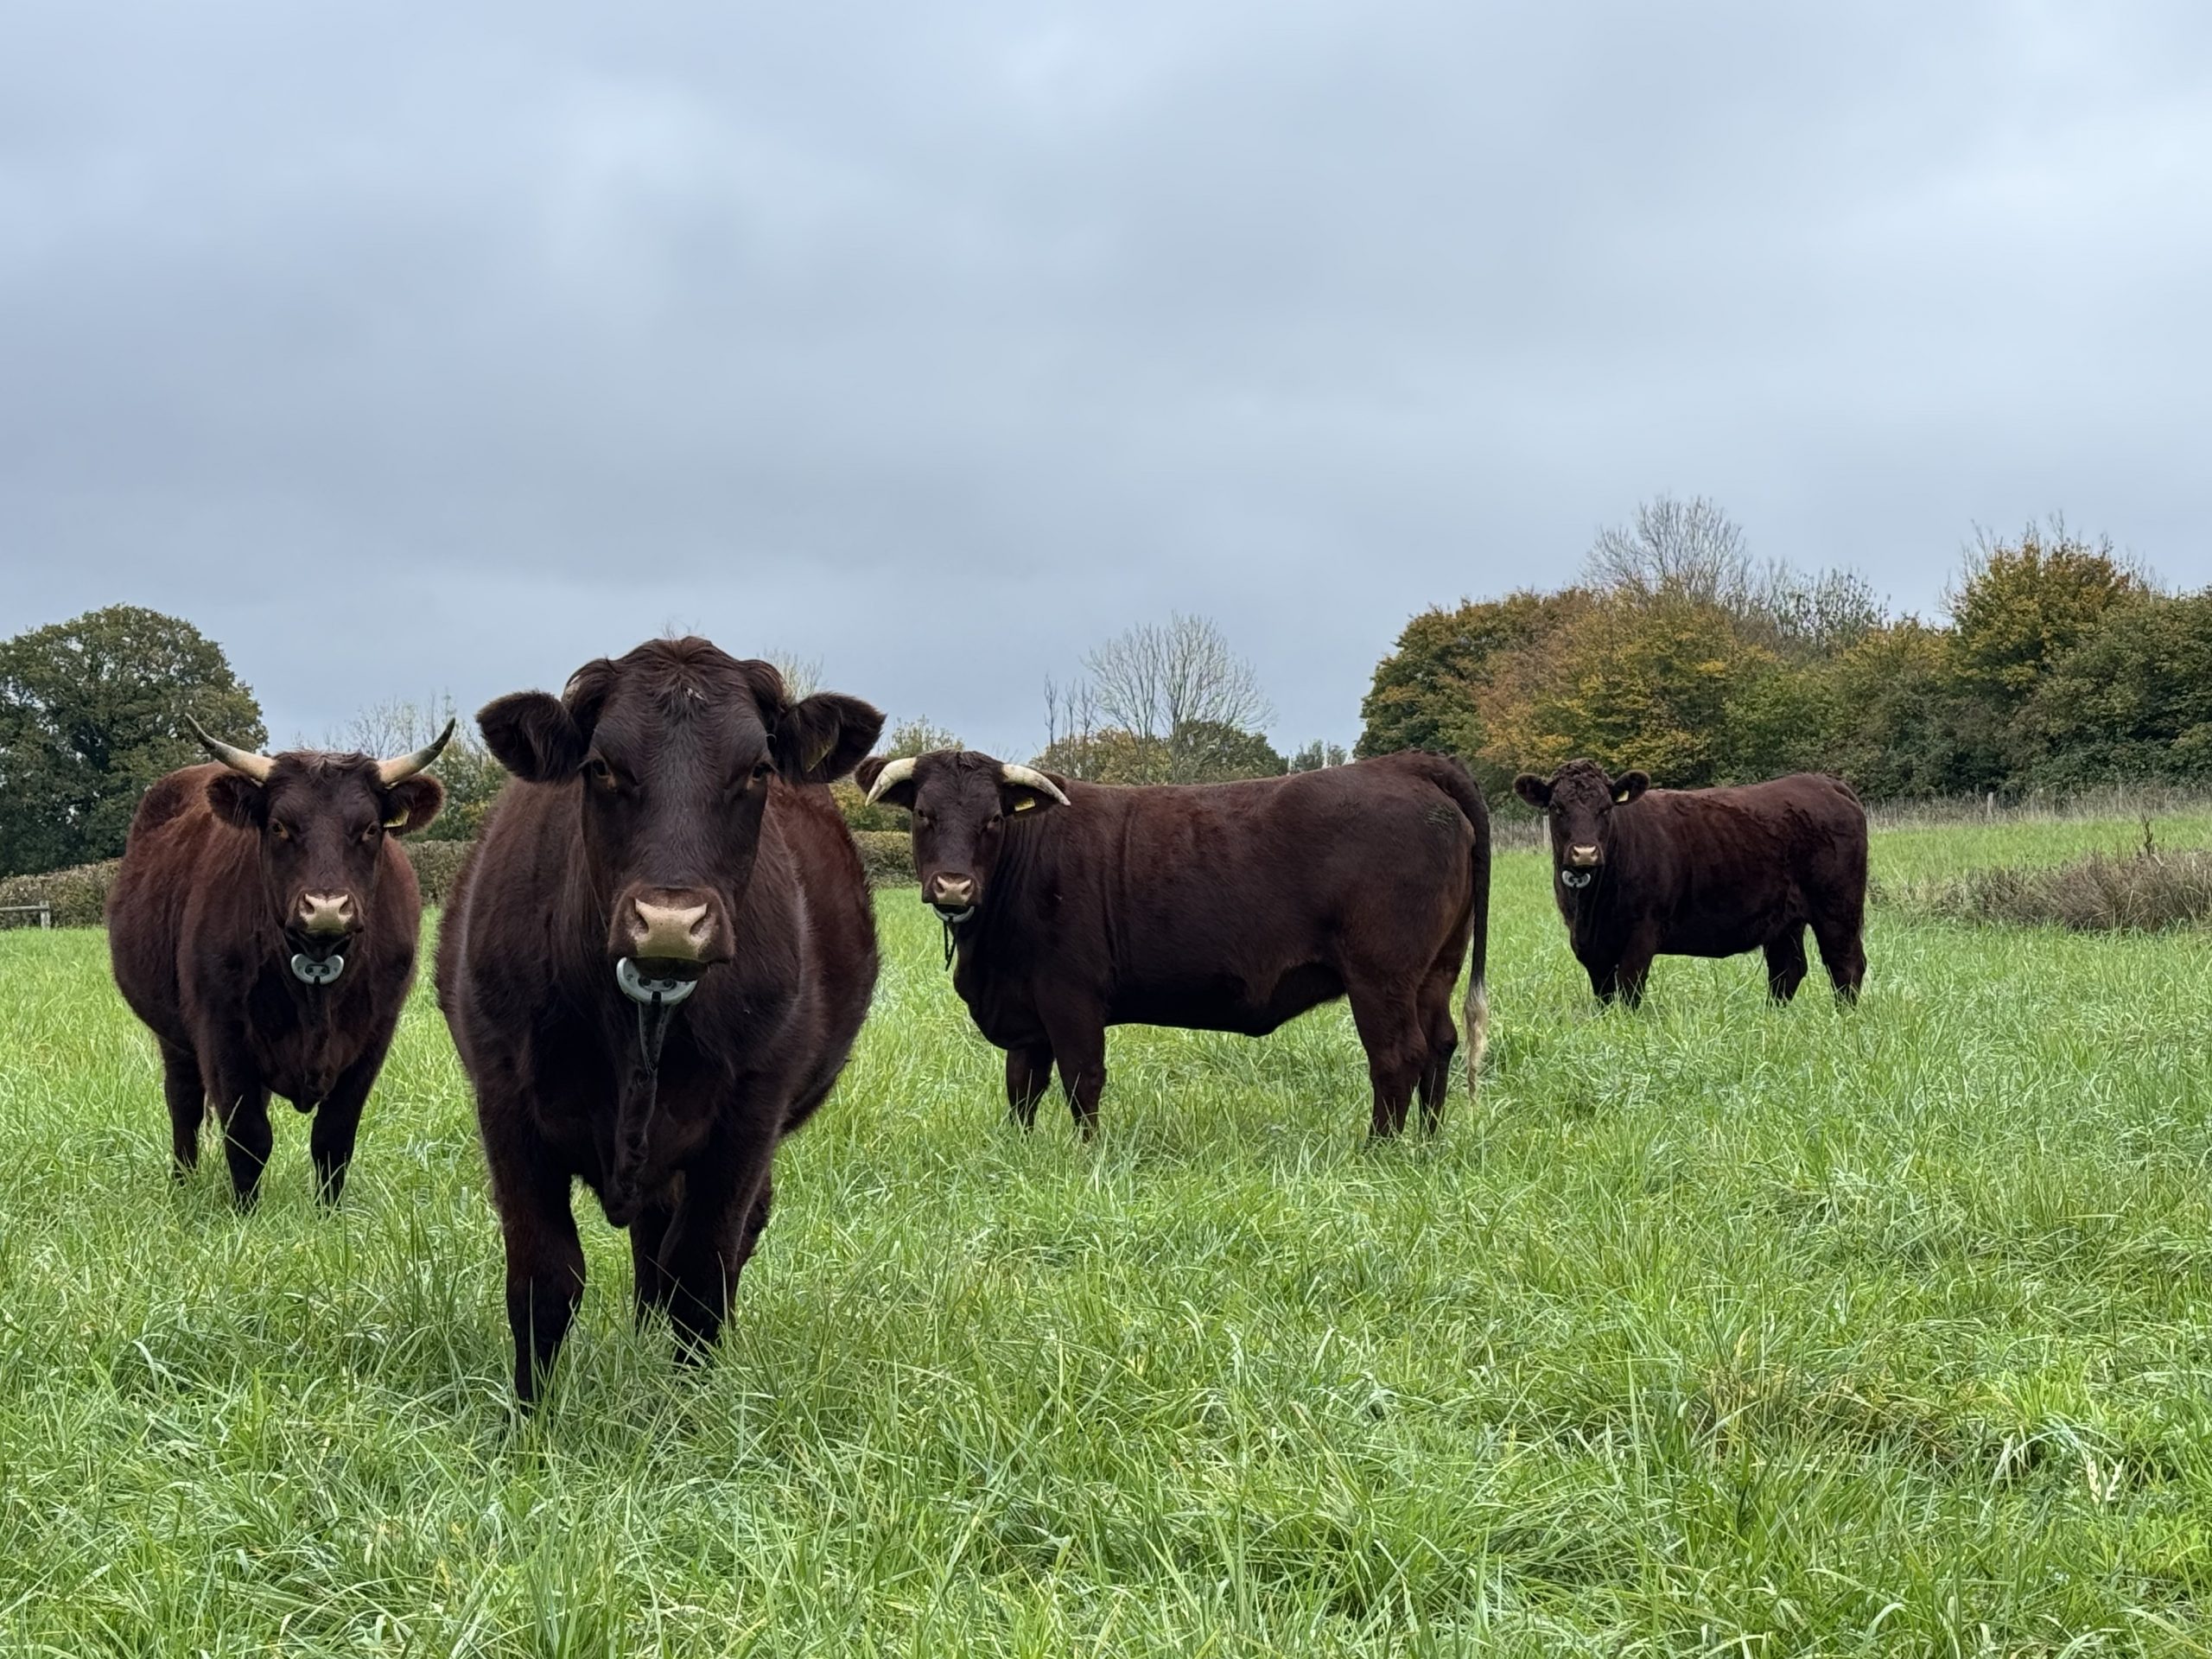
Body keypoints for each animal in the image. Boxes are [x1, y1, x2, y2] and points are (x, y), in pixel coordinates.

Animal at [105, 720, 452, 1207]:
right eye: (279, 827)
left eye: (369, 829)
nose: (326, 908)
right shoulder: (222, 1033)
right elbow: (248, 1135)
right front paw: (245, 1212)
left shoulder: (374, 1037)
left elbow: (333, 1136)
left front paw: (328, 1212)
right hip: (173, 1038)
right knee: (184, 1103)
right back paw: (183, 1185)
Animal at [436, 638, 884, 1404]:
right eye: (601, 766)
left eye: (757, 769)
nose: (671, 922)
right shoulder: (505, 1104)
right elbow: (543, 1279)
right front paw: (530, 1421)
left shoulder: (748, 1116)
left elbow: (700, 1277)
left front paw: (688, 1416)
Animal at [854, 749, 1492, 1139]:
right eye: (924, 814)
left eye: (993, 819)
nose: (953, 885)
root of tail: (1407, 765)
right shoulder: (1027, 1009)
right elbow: (1021, 1087)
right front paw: (1017, 1151)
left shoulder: (1069, 994)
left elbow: (1082, 1078)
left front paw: (1086, 1159)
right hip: (1437, 969)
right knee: (1440, 1045)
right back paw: (1427, 1144)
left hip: (1381, 976)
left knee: (1397, 1055)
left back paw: (1377, 1151)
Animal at [1511, 759, 1868, 1007]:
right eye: (1557, 808)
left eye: (1605, 808)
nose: (1584, 853)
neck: (1589, 908)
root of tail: (1825, 783)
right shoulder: (1588, 944)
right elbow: (1605, 995)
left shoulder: (1643, 932)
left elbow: (1628, 990)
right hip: (1784, 920)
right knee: (1787, 969)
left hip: (1838, 907)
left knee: (1845, 964)